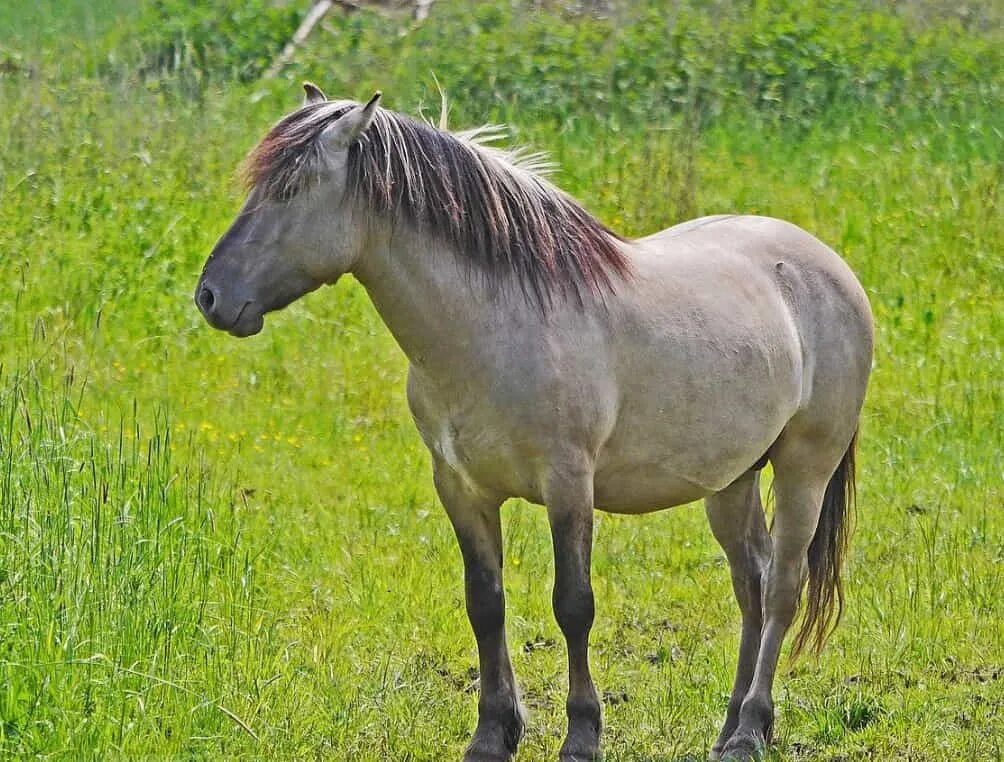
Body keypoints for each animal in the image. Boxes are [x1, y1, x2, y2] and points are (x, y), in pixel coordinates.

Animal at [193, 84, 871, 762]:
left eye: (291, 190)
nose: (210, 297)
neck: (494, 327)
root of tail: (826, 265)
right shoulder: (461, 488)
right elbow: (485, 604)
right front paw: (493, 733)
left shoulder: (568, 484)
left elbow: (573, 606)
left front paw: (581, 735)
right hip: (730, 478)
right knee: (750, 582)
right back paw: (731, 728)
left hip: (804, 468)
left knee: (781, 586)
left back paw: (752, 728)